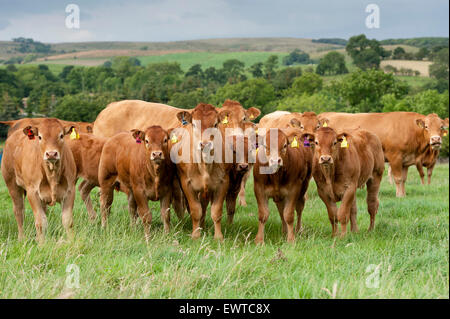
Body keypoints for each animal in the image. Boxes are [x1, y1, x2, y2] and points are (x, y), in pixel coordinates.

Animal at [318, 112, 448, 198]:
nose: (436, 139)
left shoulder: (405, 161)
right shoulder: (395, 157)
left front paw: (404, 194)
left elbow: (404, 179)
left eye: (441, 127)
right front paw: (399, 195)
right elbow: (398, 178)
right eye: (426, 126)